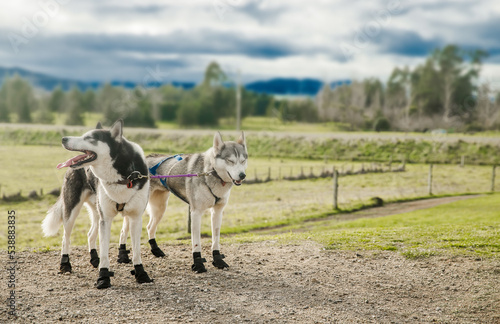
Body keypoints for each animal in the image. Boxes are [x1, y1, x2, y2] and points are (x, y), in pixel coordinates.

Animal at [41, 120, 152, 290]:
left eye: (90, 138)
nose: (63, 139)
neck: (122, 177)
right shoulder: (106, 218)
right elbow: (105, 250)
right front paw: (103, 277)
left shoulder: (135, 218)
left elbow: (137, 251)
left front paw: (141, 273)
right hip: (72, 211)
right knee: (66, 238)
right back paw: (65, 264)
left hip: (96, 212)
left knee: (90, 234)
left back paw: (94, 259)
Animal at [137, 132, 248, 274]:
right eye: (230, 161)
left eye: (243, 161)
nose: (242, 175)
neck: (211, 173)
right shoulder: (196, 213)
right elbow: (196, 242)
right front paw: (199, 264)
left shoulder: (217, 212)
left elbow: (216, 239)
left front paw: (218, 260)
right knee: (125, 228)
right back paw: (125, 258)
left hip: (160, 208)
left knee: (150, 227)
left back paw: (156, 250)